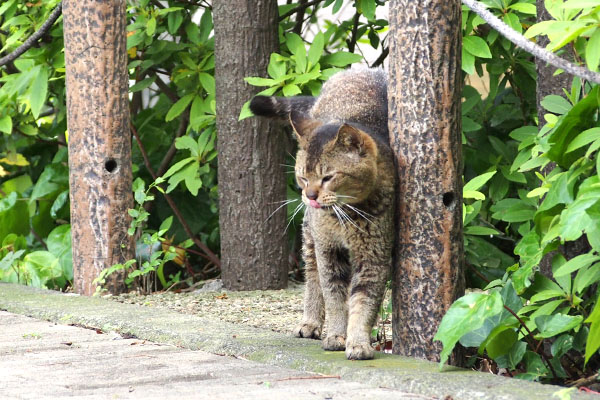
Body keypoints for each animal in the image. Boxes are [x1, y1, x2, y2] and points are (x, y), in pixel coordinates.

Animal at [248, 66, 394, 360]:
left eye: (328, 177)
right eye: (303, 177)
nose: (310, 195)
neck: (346, 217)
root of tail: (362, 68)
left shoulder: (374, 256)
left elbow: (364, 301)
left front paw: (358, 341)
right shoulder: (328, 250)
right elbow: (335, 296)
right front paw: (337, 335)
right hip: (309, 235)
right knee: (312, 276)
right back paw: (311, 322)